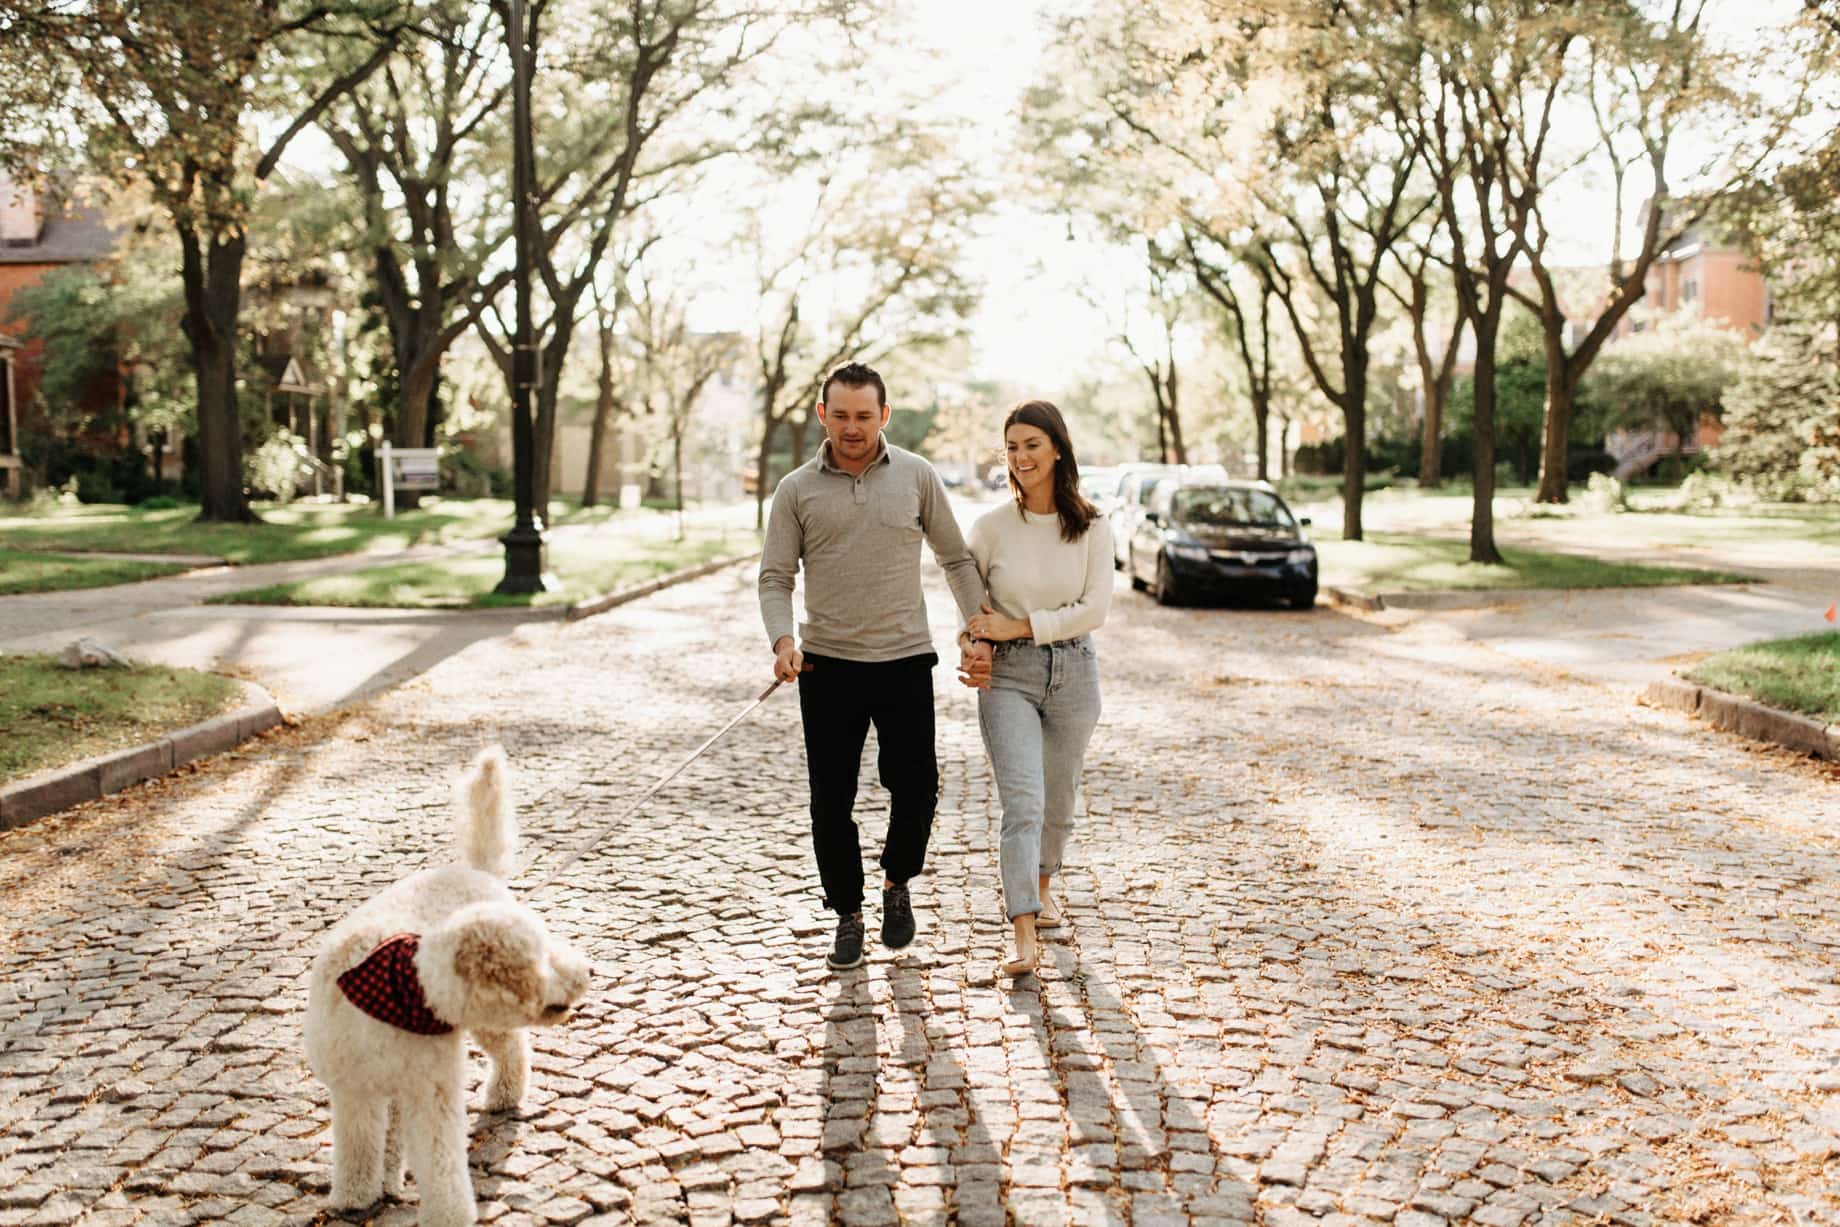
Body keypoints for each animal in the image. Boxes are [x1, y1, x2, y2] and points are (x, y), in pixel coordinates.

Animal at [303, 750, 588, 1227]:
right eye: (543, 956)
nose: (587, 972)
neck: (405, 987)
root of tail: (477, 872)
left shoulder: (429, 1094)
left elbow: (439, 1161)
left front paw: (448, 1213)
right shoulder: (354, 1089)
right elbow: (359, 1147)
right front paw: (354, 1195)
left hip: (482, 1030)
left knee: (511, 1052)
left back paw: (504, 1095)